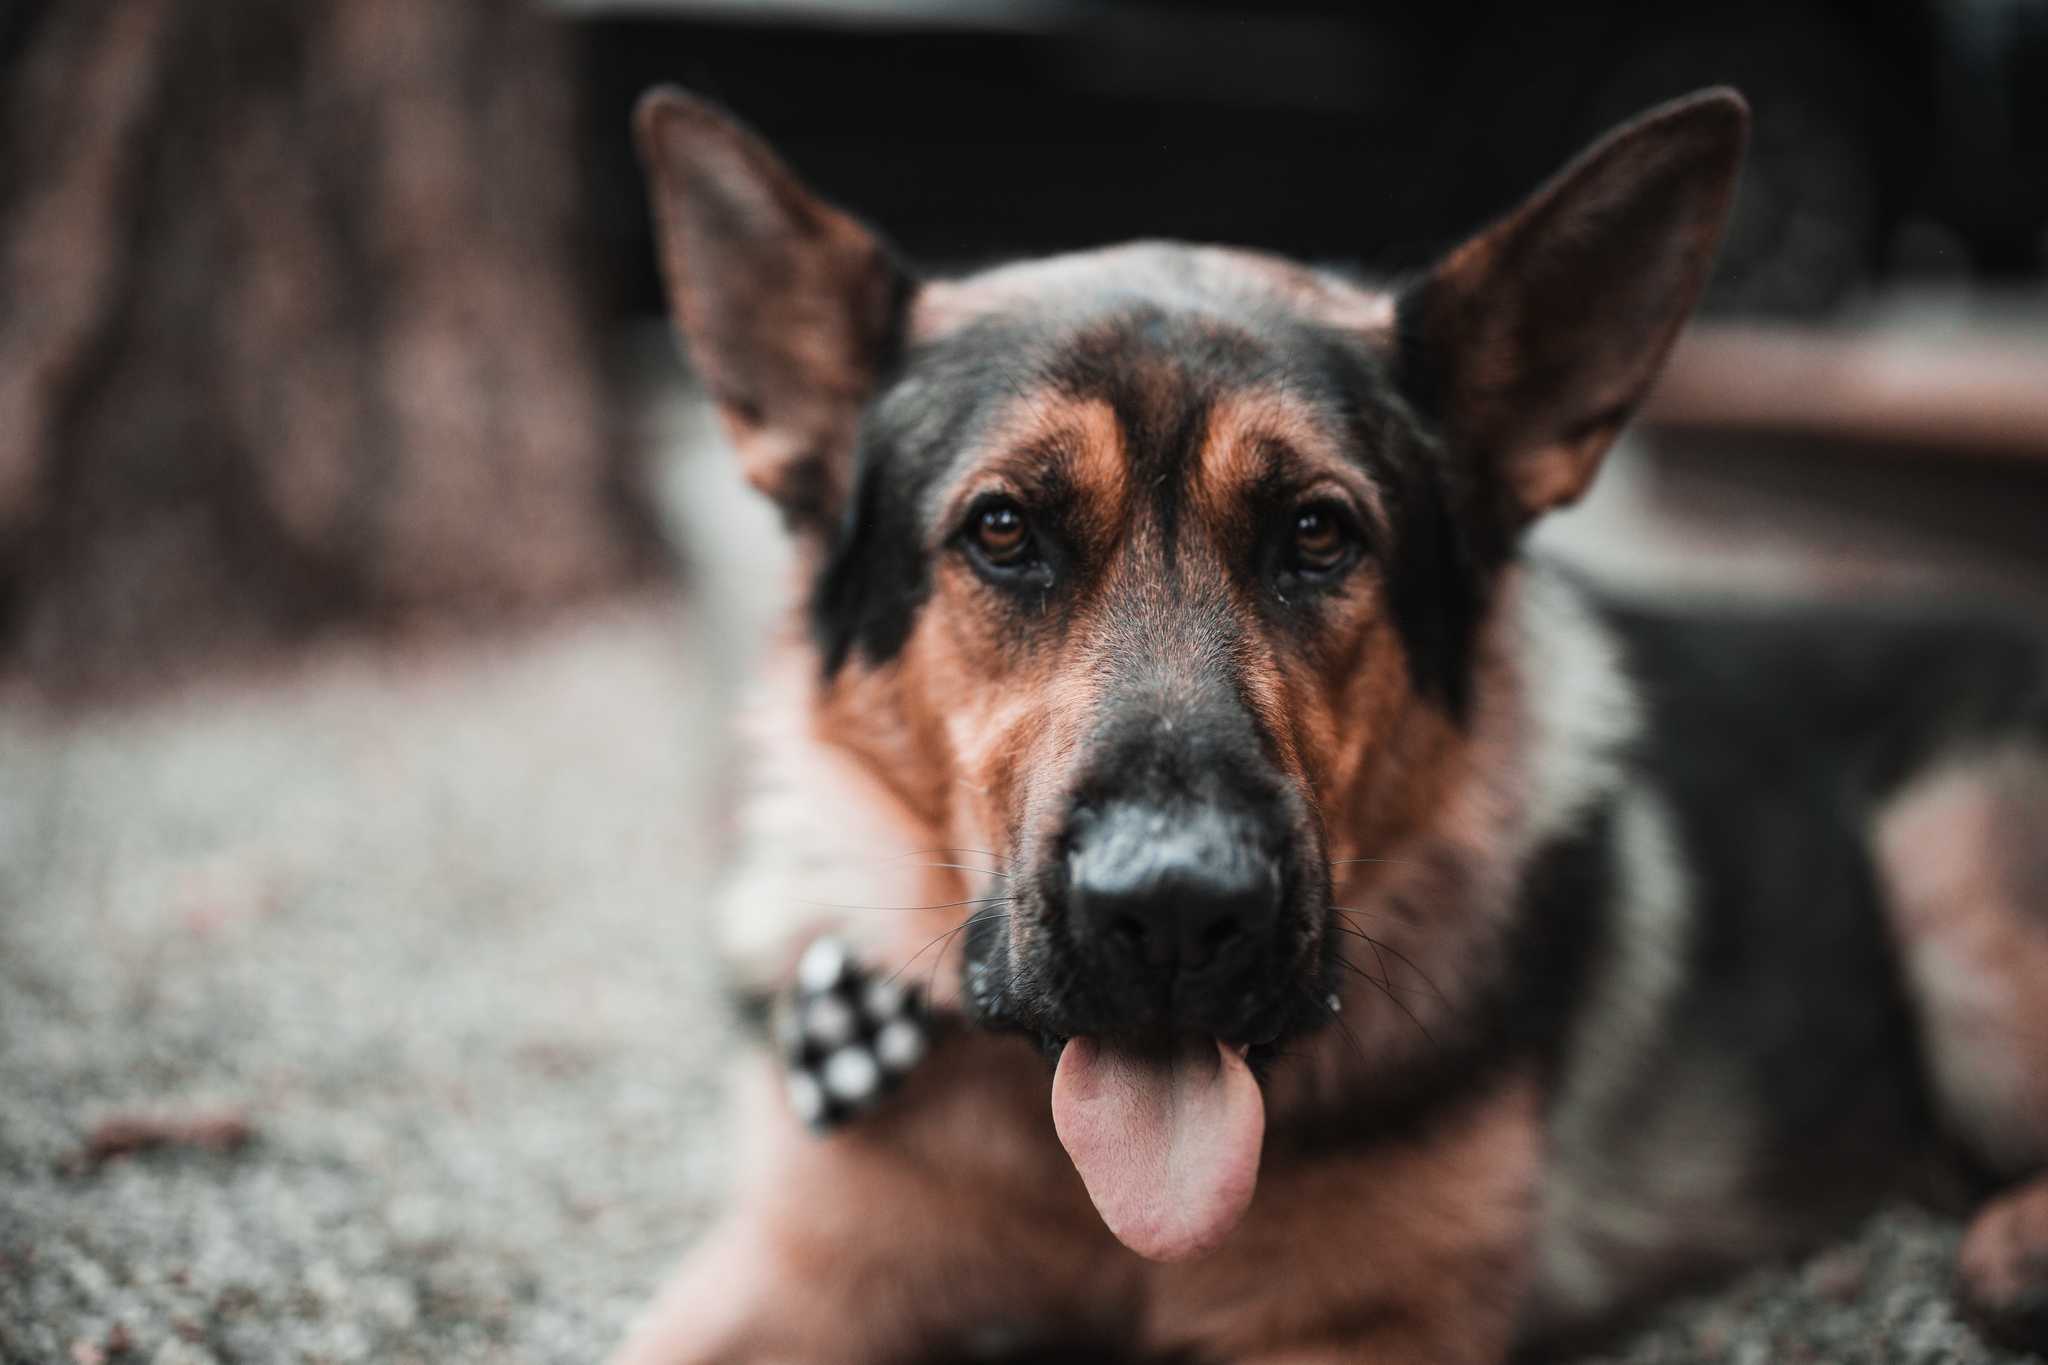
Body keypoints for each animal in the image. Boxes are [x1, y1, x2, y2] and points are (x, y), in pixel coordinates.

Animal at [614, 87, 2048, 1365]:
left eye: (1316, 533)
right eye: (1005, 530)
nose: (1177, 912)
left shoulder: (1357, 1336)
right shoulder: (773, 1287)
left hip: (1948, 879)